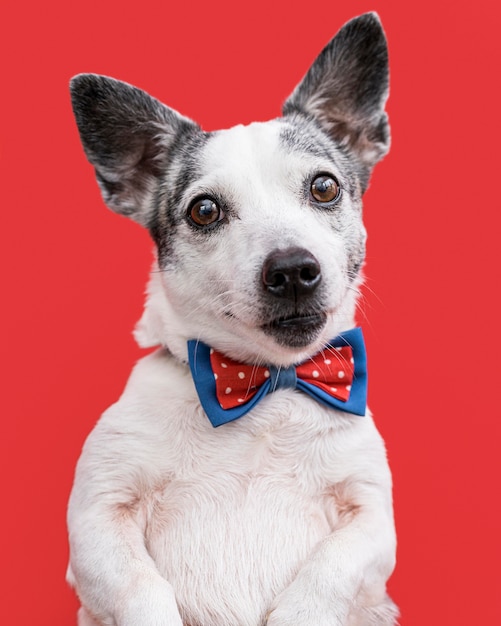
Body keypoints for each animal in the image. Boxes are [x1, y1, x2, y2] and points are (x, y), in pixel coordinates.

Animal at [66, 9, 396, 624]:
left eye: (324, 187)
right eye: (204, 210)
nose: (292, 269)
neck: (267, 384)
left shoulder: (370, 520)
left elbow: (330, 572)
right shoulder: (98, 520)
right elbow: (140, 589)